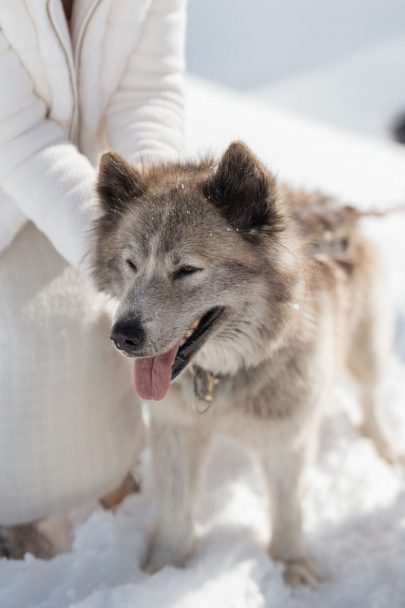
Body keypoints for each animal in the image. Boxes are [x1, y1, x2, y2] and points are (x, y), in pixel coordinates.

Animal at [92, 141, 394, 584]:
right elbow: (175, 509)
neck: (223, 377)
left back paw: (384, 447)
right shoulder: (176, 429)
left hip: (366, 350)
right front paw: (165, 566)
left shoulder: (289, 439)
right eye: (131, 264)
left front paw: (293, 566)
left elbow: (288, 511)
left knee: (371, 398)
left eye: (187, 269)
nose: (123, 336)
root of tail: (338, 209)